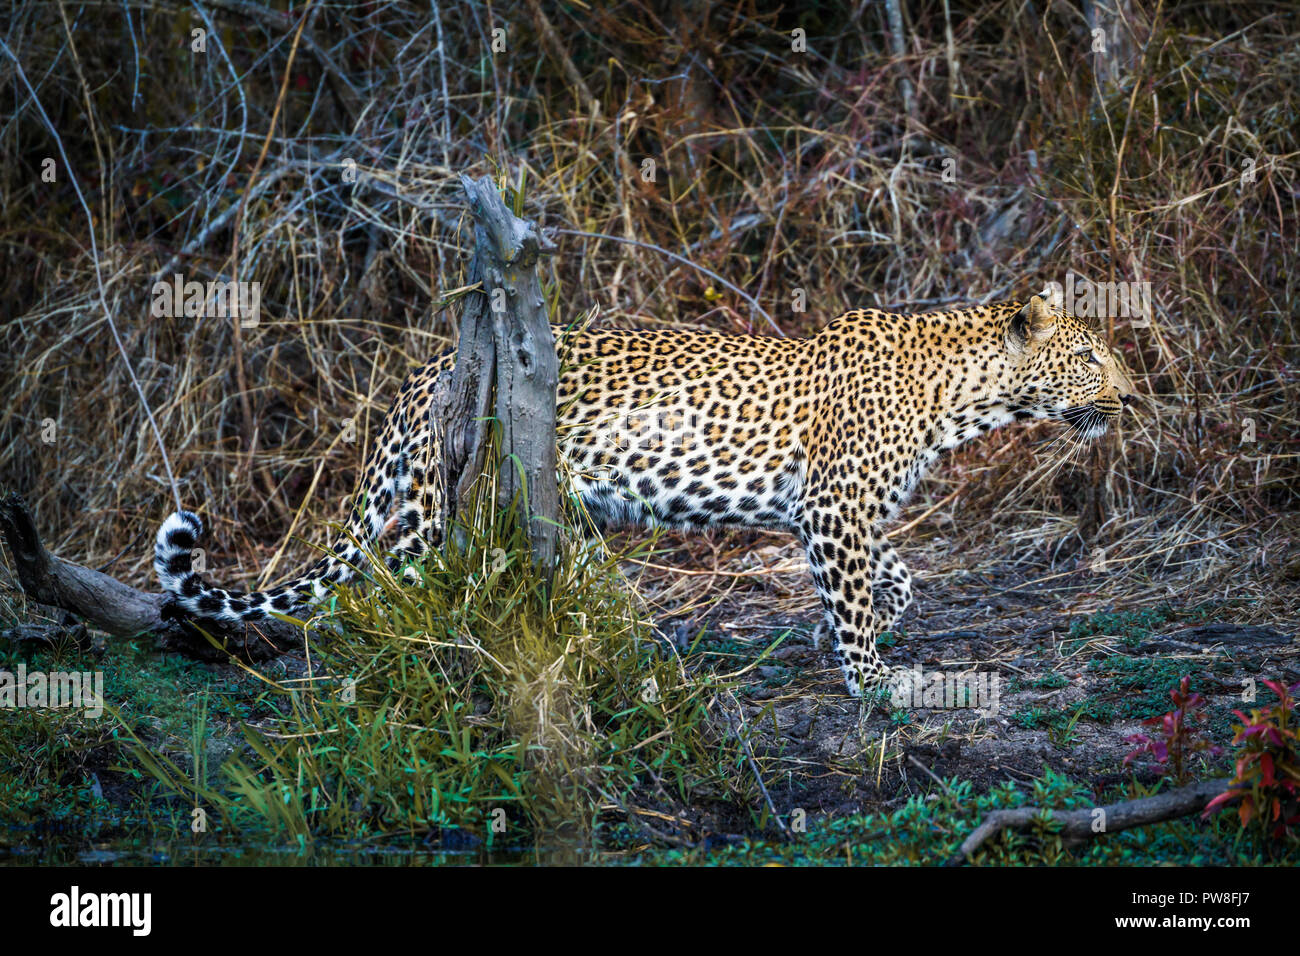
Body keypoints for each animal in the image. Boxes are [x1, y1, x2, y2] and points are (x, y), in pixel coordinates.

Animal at [152, 293, 1133, 697]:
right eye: (1090, 358)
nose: (1130, 396)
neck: (965, 397)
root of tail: (422, 370)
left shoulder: (832, 513)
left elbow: (895, 581)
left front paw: (848, 639)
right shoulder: (833, 508)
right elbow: (861, 597)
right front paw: (872, 683)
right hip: (437, 509)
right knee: (389, 594)